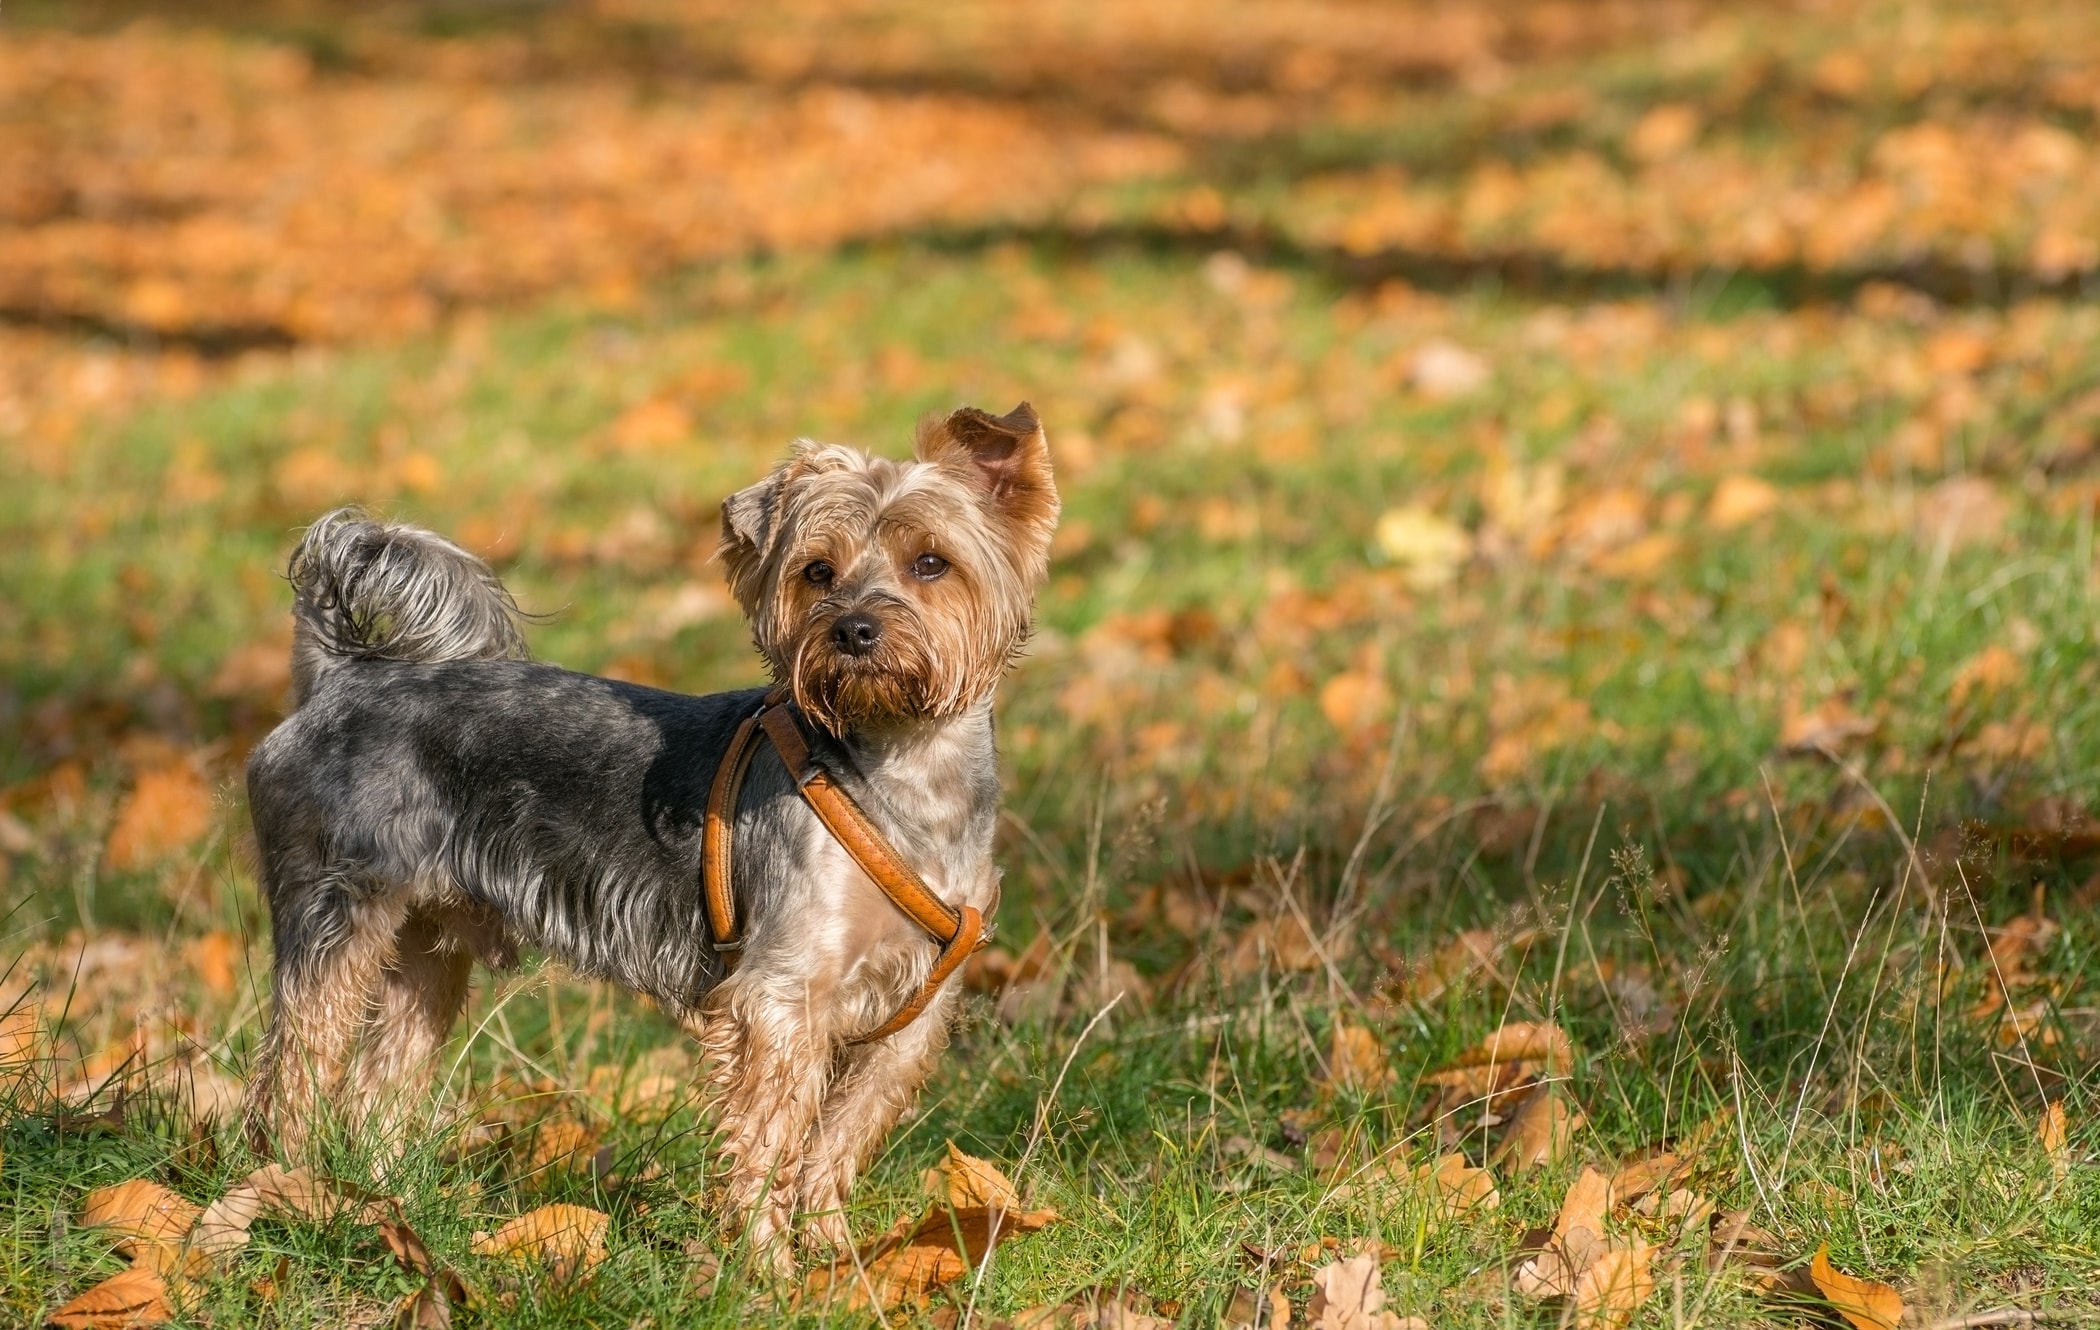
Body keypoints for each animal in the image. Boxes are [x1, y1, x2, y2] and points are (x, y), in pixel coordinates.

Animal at [240, 399, 1058, 1260]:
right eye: (816, 573)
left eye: (931, 563)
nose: (854, 629)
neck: (903, 766)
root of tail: (338, 678)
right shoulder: (783, 994)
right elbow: (770, 1136)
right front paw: (765, 1263)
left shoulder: (912, 1016)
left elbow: (840, 1137)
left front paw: (835, 1254)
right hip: (338, 904)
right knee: (293, 1070)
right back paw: (292, 1193)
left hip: (426, 943)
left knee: (381, 1081)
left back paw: (382, 1202)